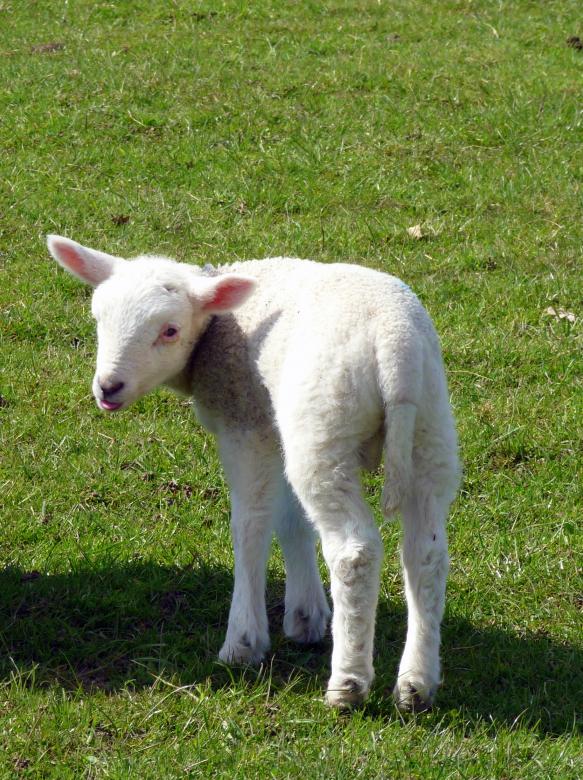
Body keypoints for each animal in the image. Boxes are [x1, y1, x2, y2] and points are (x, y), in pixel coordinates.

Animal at [47, 234, 460, 711]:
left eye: (170, 330)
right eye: (98, 318)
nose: (108, 388)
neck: (216, 330)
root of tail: (396, 352)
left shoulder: (244, 424)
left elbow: (250, 525)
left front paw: (243, 641)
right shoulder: (273, 425)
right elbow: (292, 520)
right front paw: (306, 615)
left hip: (326, 422)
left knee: (354, 551)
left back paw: (348, 683)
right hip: (429, 429)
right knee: (426, 553)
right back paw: (417, 683)